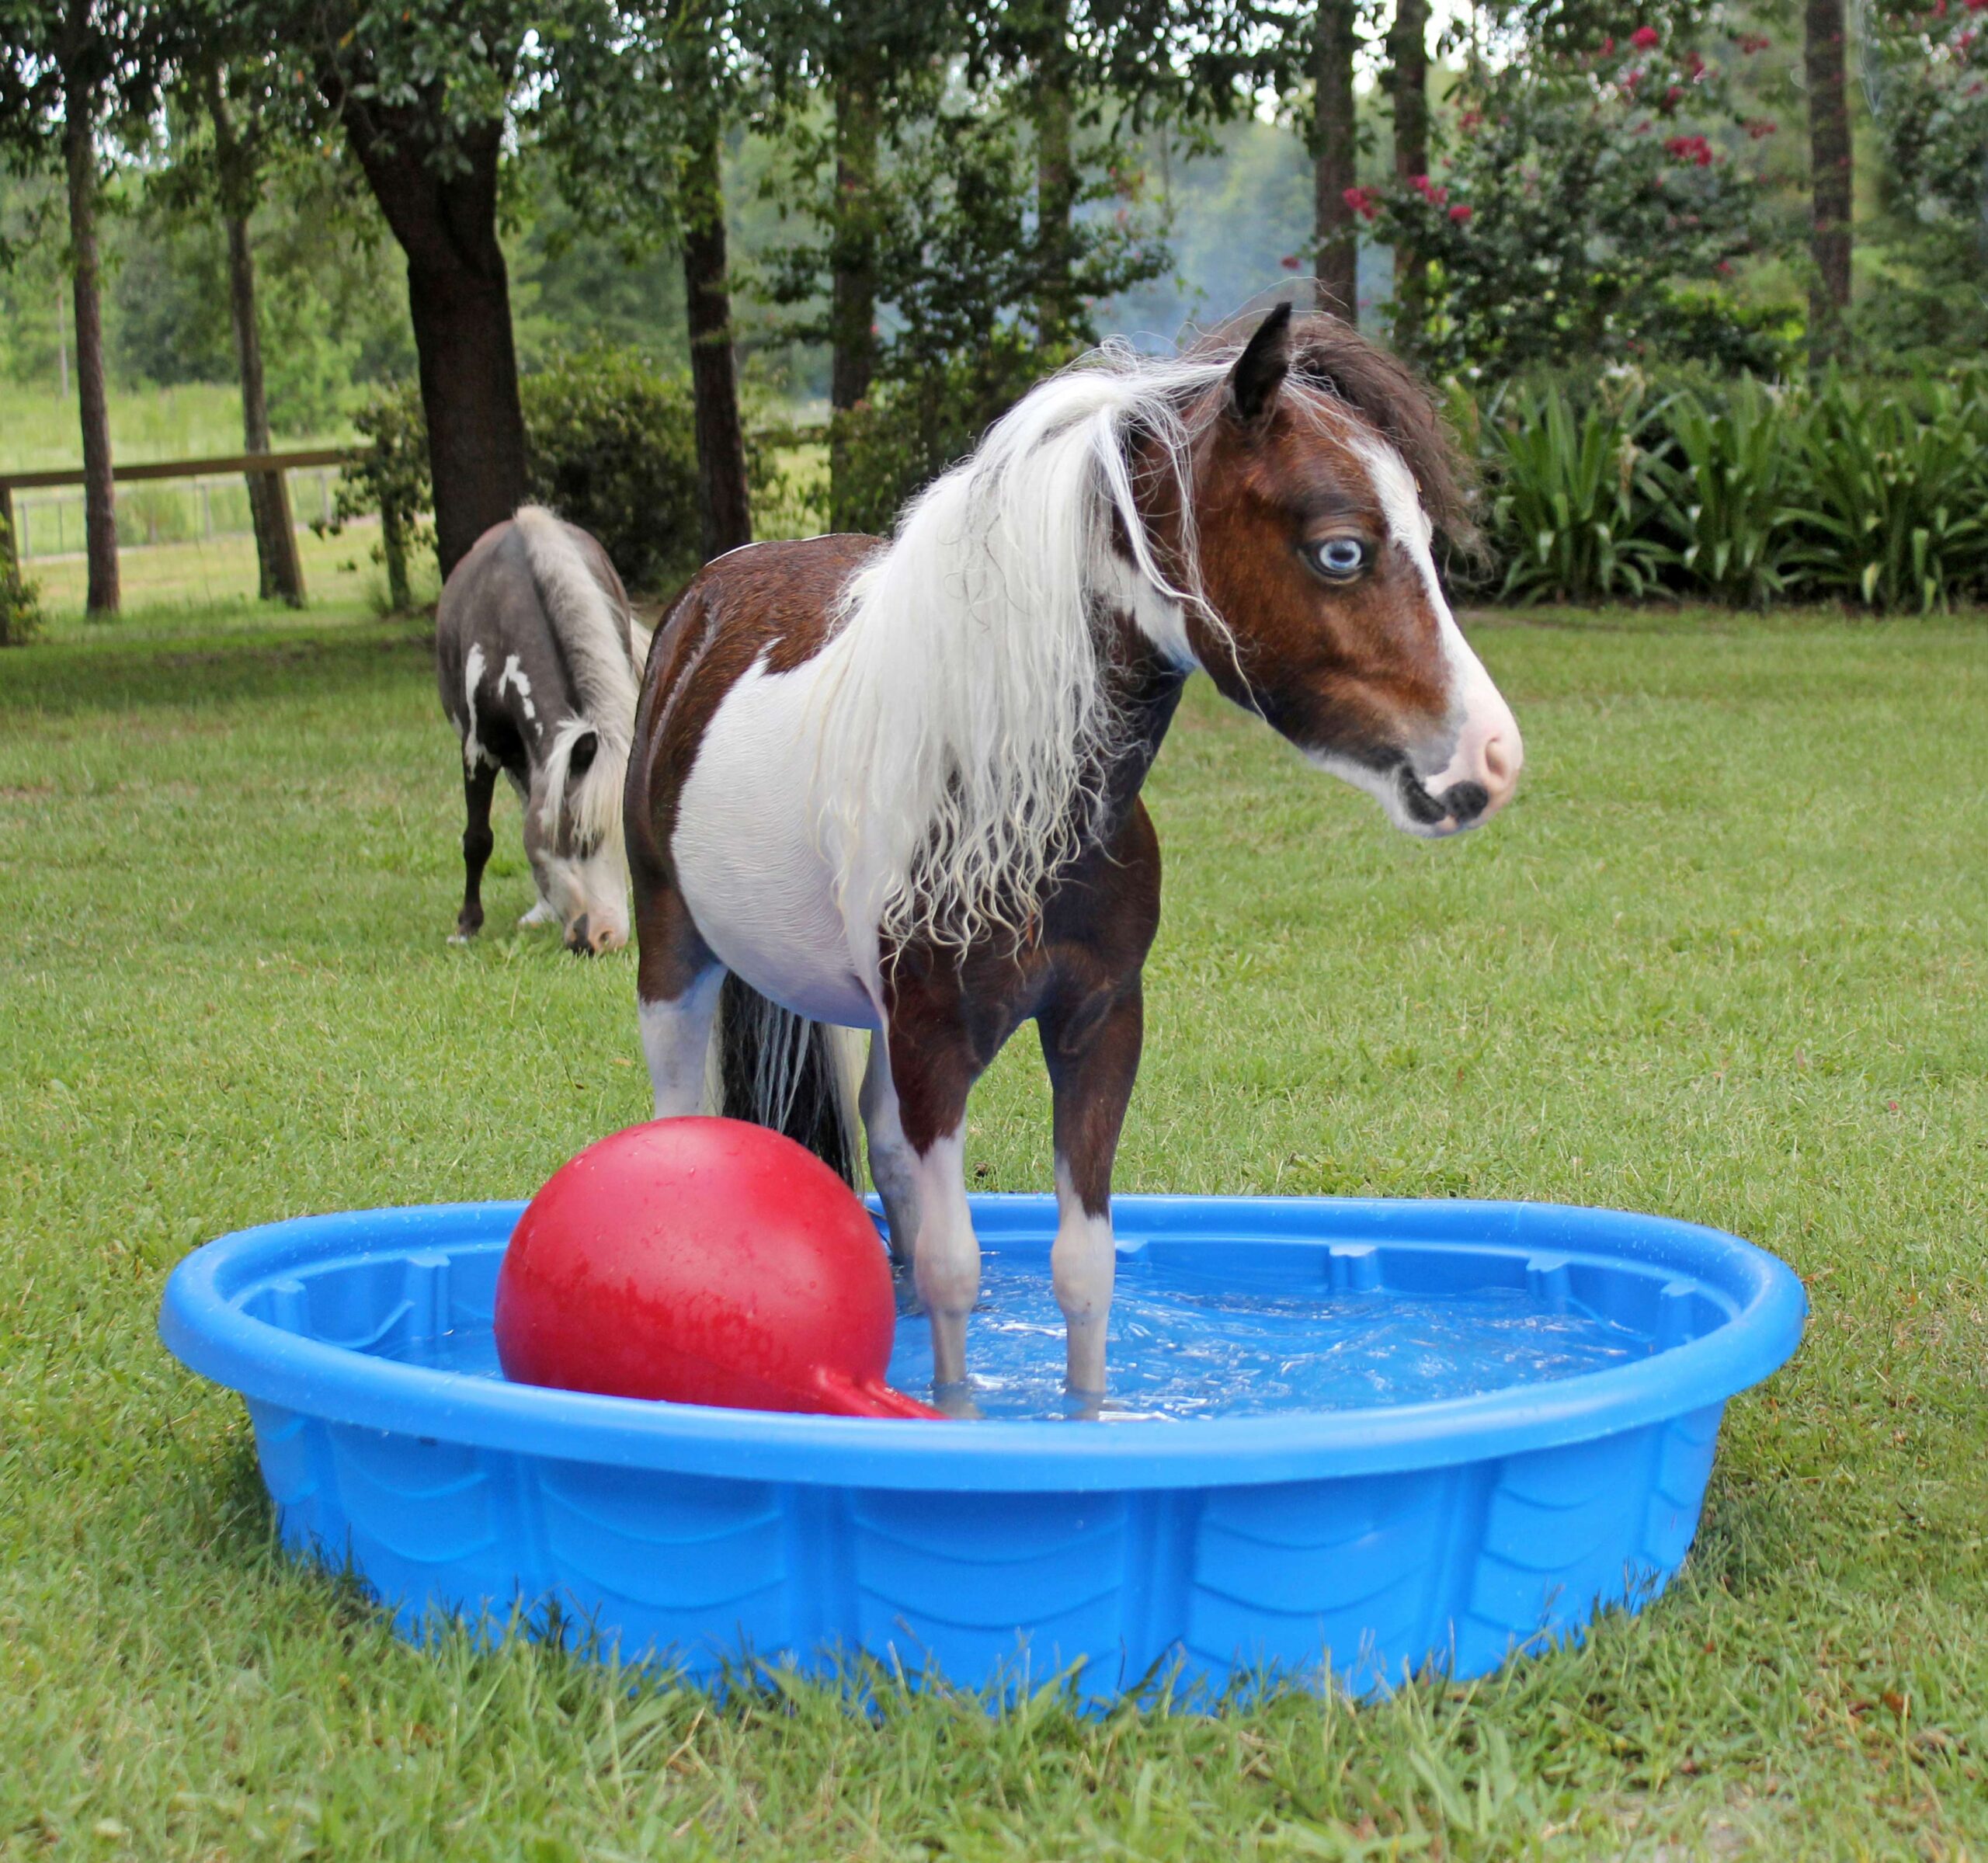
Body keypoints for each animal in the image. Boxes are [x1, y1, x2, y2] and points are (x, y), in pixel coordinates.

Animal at [620, 308, 1518, 1407]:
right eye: (1340, 550)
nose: (1491, 758)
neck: (1011, 792)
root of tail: (705, 597)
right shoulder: (936, 1043)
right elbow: (957, 1267)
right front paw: (962, 1417)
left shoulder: (1097, 1025)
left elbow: (1081, 1270)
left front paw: (1081, 1422)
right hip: (676, 960)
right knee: (681, 1120)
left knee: (884, 1154)